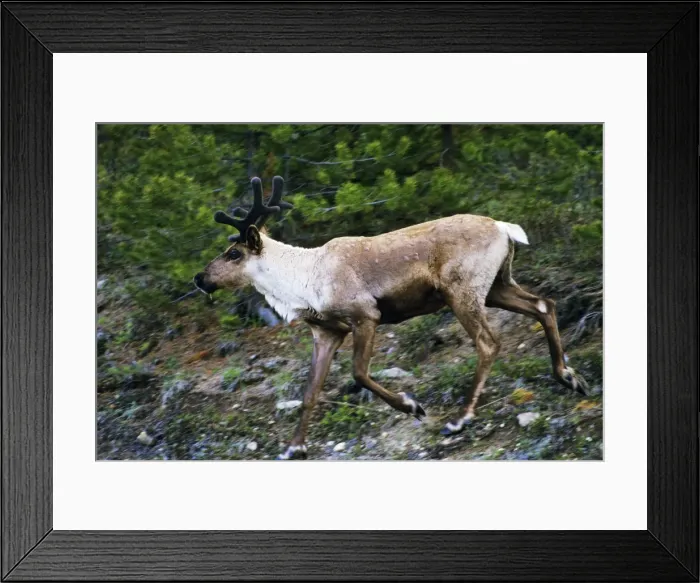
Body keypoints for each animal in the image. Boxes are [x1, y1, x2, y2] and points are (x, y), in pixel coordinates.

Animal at [194, 176, 589, 460]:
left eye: (233, 253)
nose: (199, 278)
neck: (303, 284)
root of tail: (505, 227)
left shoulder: (365, 315)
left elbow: (359, 373)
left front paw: (413, 406)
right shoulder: (326, 332)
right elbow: (310, 392)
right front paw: (294, 447)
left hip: (462, 291)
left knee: (489, 342)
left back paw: (459, 419)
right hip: (497, 286)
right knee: (544, 305)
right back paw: (568, 377)